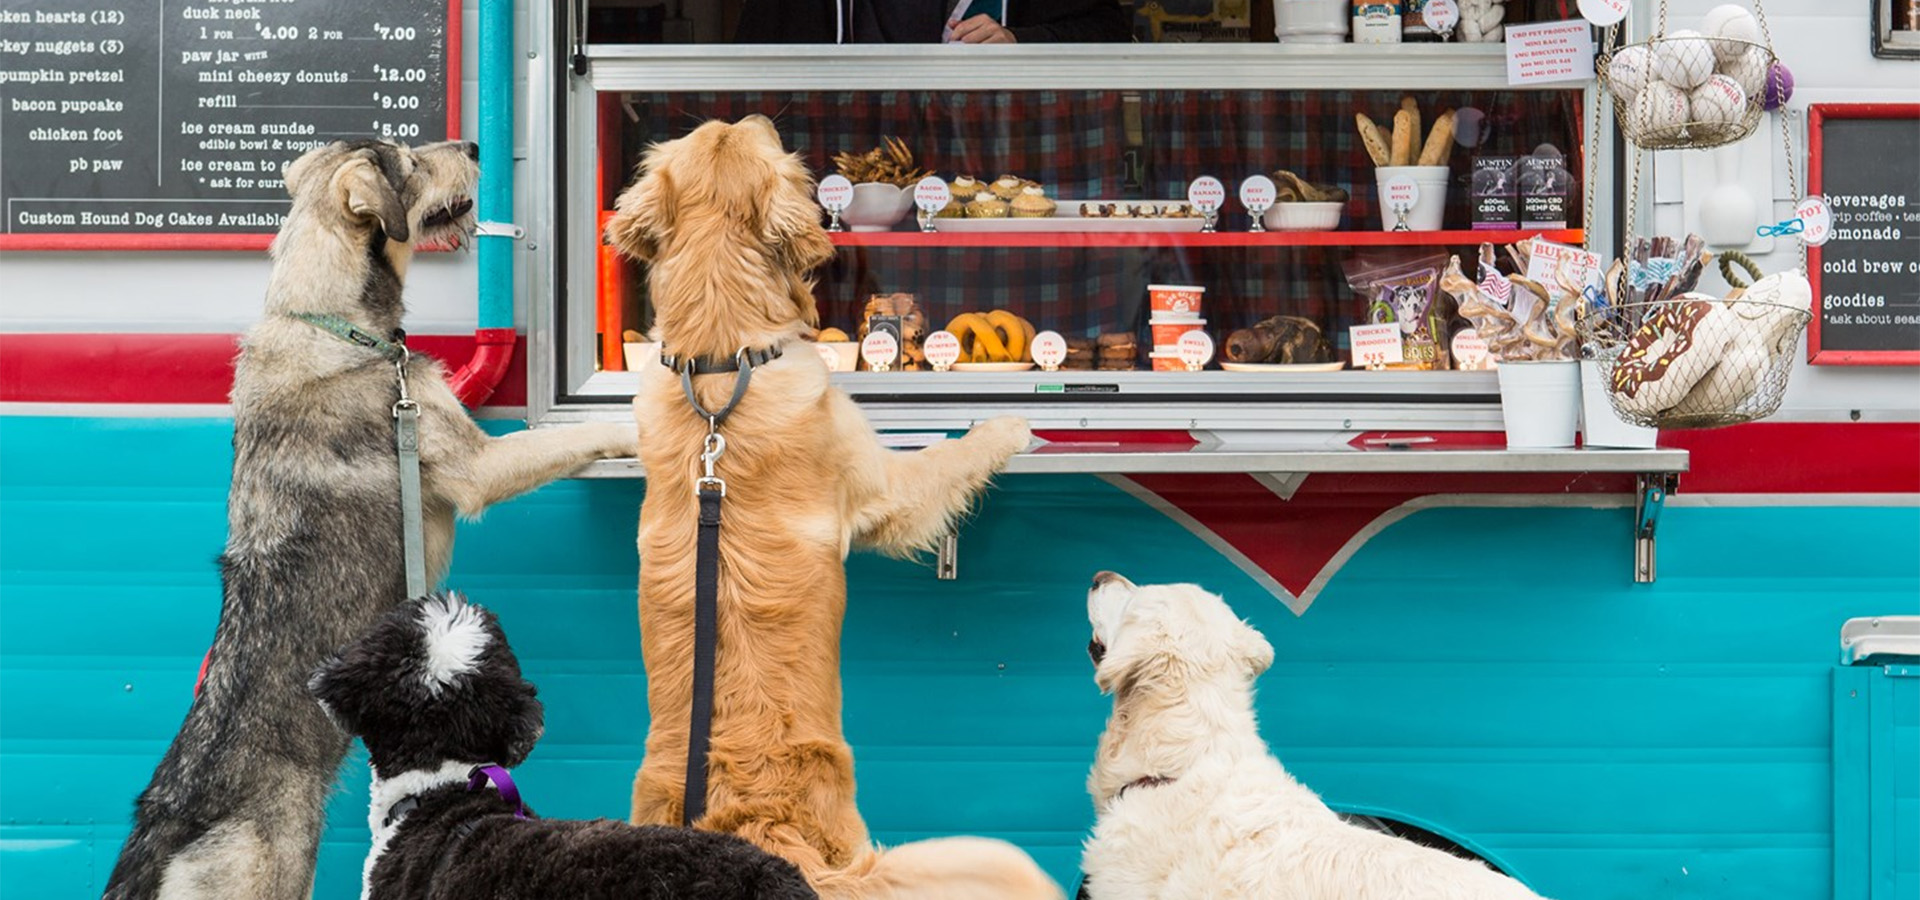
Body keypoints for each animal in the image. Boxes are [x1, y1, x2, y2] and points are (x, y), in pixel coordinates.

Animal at [103, 140, 637, 898]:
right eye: (411, 161)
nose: (474, 147)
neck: (329, 317)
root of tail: (168, 816)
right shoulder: (480, 467)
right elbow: (581, 435)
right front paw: (641, 421)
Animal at [606, 114, 1067, 898]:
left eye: (723, 127)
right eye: (755, 138)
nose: (763, 115)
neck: (720, 358)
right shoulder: (885, 486)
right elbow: (949, 459)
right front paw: (1006, 426)